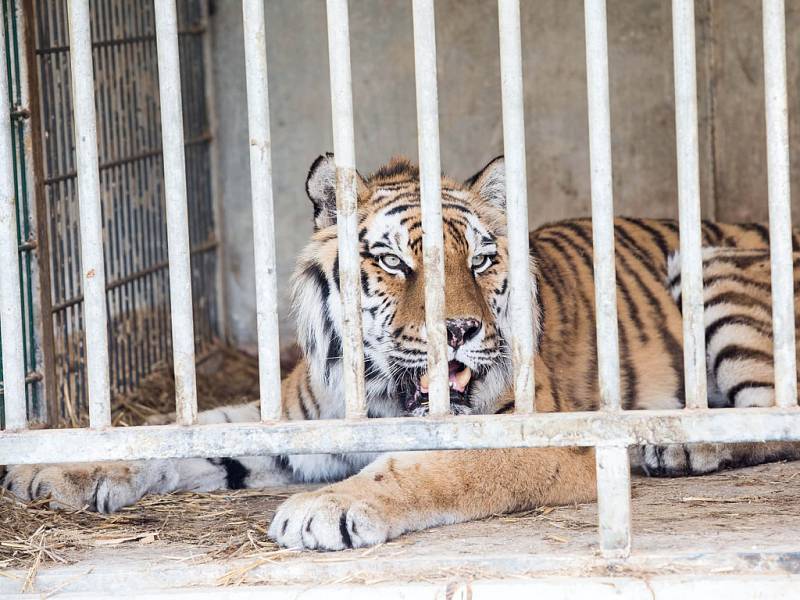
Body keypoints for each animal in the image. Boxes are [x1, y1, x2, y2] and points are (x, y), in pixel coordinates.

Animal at [6, 154, 800, 548]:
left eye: (480, 261)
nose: (462, 331)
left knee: (769, 417)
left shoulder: (532, 435)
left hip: (711, 274)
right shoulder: (297, 420)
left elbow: (426, 469)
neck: (380, 392)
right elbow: (179, 433)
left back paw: (678, 445)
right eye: (395, 262)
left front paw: (323, 512)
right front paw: (57, 470)